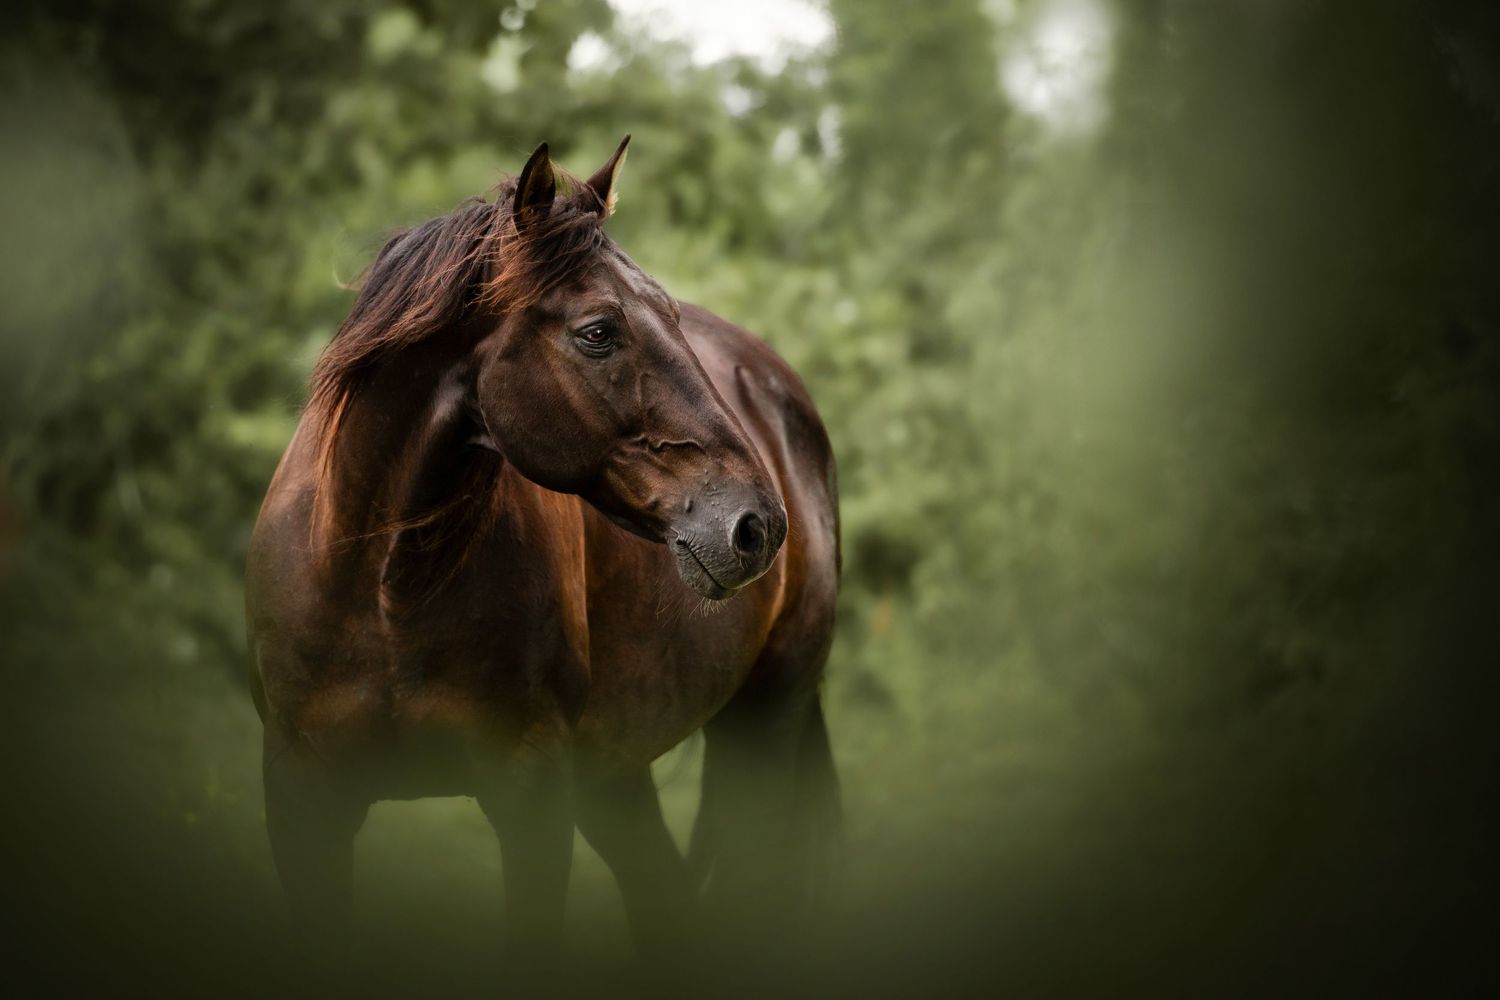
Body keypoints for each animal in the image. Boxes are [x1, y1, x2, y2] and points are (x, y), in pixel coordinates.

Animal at [244, 136, 840, 962]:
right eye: (598, 332)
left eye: (670, 313)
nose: (758, 526)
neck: (381, 583)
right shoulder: (301, 800)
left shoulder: (531, 801)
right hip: (616, 776)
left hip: (762, 727)